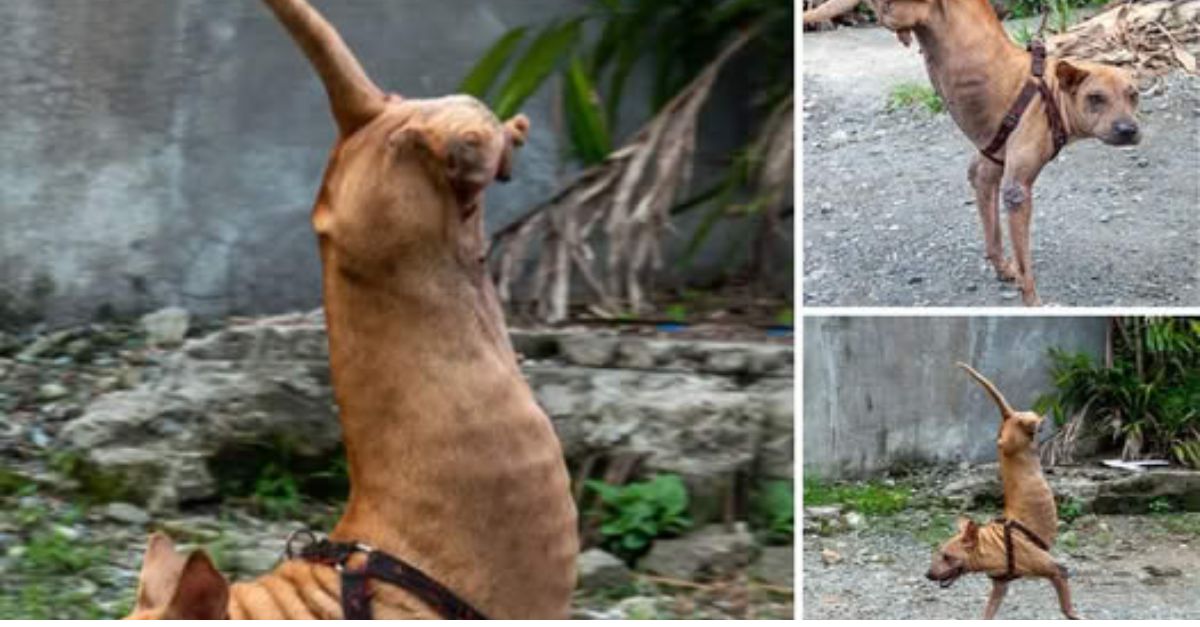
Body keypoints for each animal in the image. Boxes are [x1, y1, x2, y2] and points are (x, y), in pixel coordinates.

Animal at [868, 0, 1137, 305]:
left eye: (1133, 95)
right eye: (1095, 98)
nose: (1128, 129)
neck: (1052, 95)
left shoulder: (986, 169)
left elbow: (993, 233)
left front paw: (1002, 268)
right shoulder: (1016, 190)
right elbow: (1024, 262)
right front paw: (1031, 297)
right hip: (905, 11)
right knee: (882, 11)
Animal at [921, 357, 1084, 614]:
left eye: (947, 556)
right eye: (938, 554)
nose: (927, 575)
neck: (993, 545)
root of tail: (1009, 417)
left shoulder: (1057, 570)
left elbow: (1067, 609)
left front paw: (1075, 615)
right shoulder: (1000, 587)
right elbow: (988, 613)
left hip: (1014, 433)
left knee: (1028, 420)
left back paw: (1040, 422)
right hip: (1011, 437)